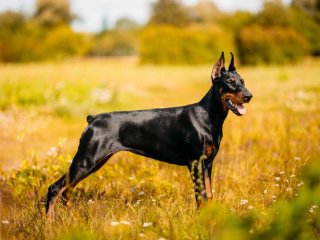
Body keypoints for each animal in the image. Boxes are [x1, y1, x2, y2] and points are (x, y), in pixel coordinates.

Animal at [46, 51, 254, 216]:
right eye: (230, 82)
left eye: (243, 81)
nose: (249, 96)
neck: (209, 116)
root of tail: (93, 118)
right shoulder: (196, 163)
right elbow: (200, 195)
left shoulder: (208, 163)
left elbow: (209, 194)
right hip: (87, 160)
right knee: (55, 188)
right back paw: (49, 223)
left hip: (96, 162)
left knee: (67, 190)